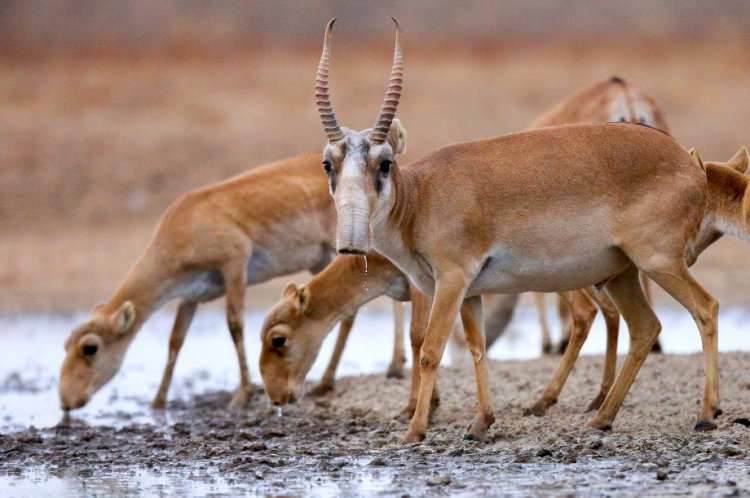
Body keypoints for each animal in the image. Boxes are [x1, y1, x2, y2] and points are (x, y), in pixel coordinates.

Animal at [58, 153, 412, 412]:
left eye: (90, 347)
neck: (182, 227)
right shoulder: (191, 296)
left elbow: (235, 324)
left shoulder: (234, 265)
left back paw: (384, 367)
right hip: (320, 261)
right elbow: (175, 340)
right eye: (65, 344)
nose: (65, 401)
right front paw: (158, 401)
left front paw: (242, 393)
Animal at [312, 18, 724, 444]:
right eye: (328, 163)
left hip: (658, 262)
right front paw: (480, 424)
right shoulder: (470, 293)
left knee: (705, 308)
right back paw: (600, 418)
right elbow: (477, 348)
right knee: (645, 328)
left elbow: (430, 350)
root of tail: (690, 163)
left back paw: (705, 415)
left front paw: (414, 430)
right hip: (621, 274)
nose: (351, 242)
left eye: (385, 162)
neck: (421, 197)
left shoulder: (451, 282)